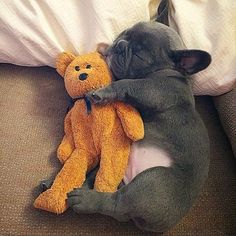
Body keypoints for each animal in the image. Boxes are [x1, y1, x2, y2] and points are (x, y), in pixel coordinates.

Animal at [67, 22, 211, 232]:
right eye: (124, 33)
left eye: (139, 56)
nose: (120, 45)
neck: (170, 72)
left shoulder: (154, 90)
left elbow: (127, 83)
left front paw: (102, 92)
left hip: (153, 183)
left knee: (116, 204)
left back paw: (85, 200)